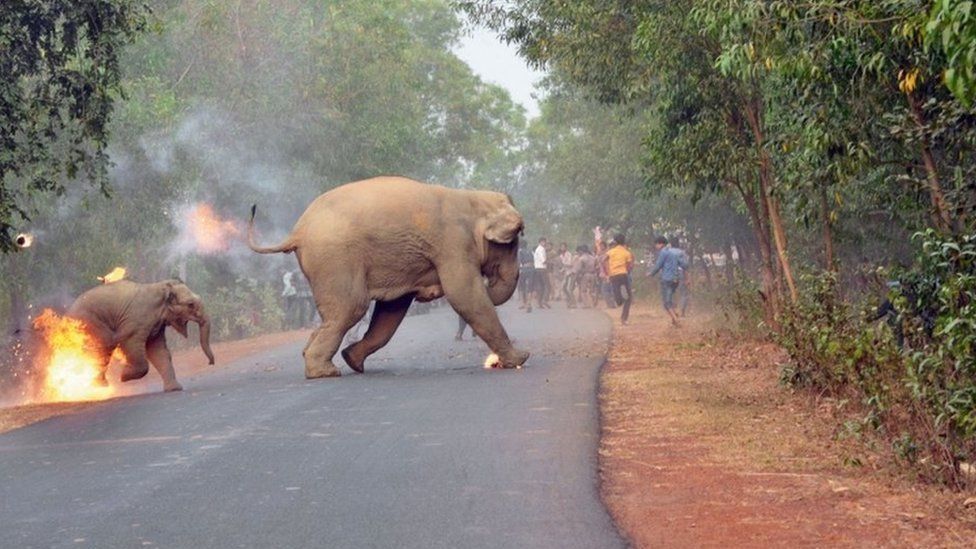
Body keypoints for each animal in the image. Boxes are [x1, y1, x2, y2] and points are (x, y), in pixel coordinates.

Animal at [67, 280, 214, 392]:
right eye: (190, 305)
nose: (210, 363)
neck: (163, 287)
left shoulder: (157, 326)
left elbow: (158, 351)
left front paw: (174, 389)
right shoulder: (136, 320)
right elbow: (130, 343)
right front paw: (123, 376)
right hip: (89, 322)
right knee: (105, 345)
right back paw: (99, 386)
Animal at [248, 176, 528, 376]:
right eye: (513, 242)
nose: (490, 283)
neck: (472, 198)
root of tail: (297, 231)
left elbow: (392, 310)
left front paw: (353, 359)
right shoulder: (453, 244)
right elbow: (465, 295)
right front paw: (520, 359)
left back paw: (329, 362)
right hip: (335, 258)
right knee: (352, 308)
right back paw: (325, 372)